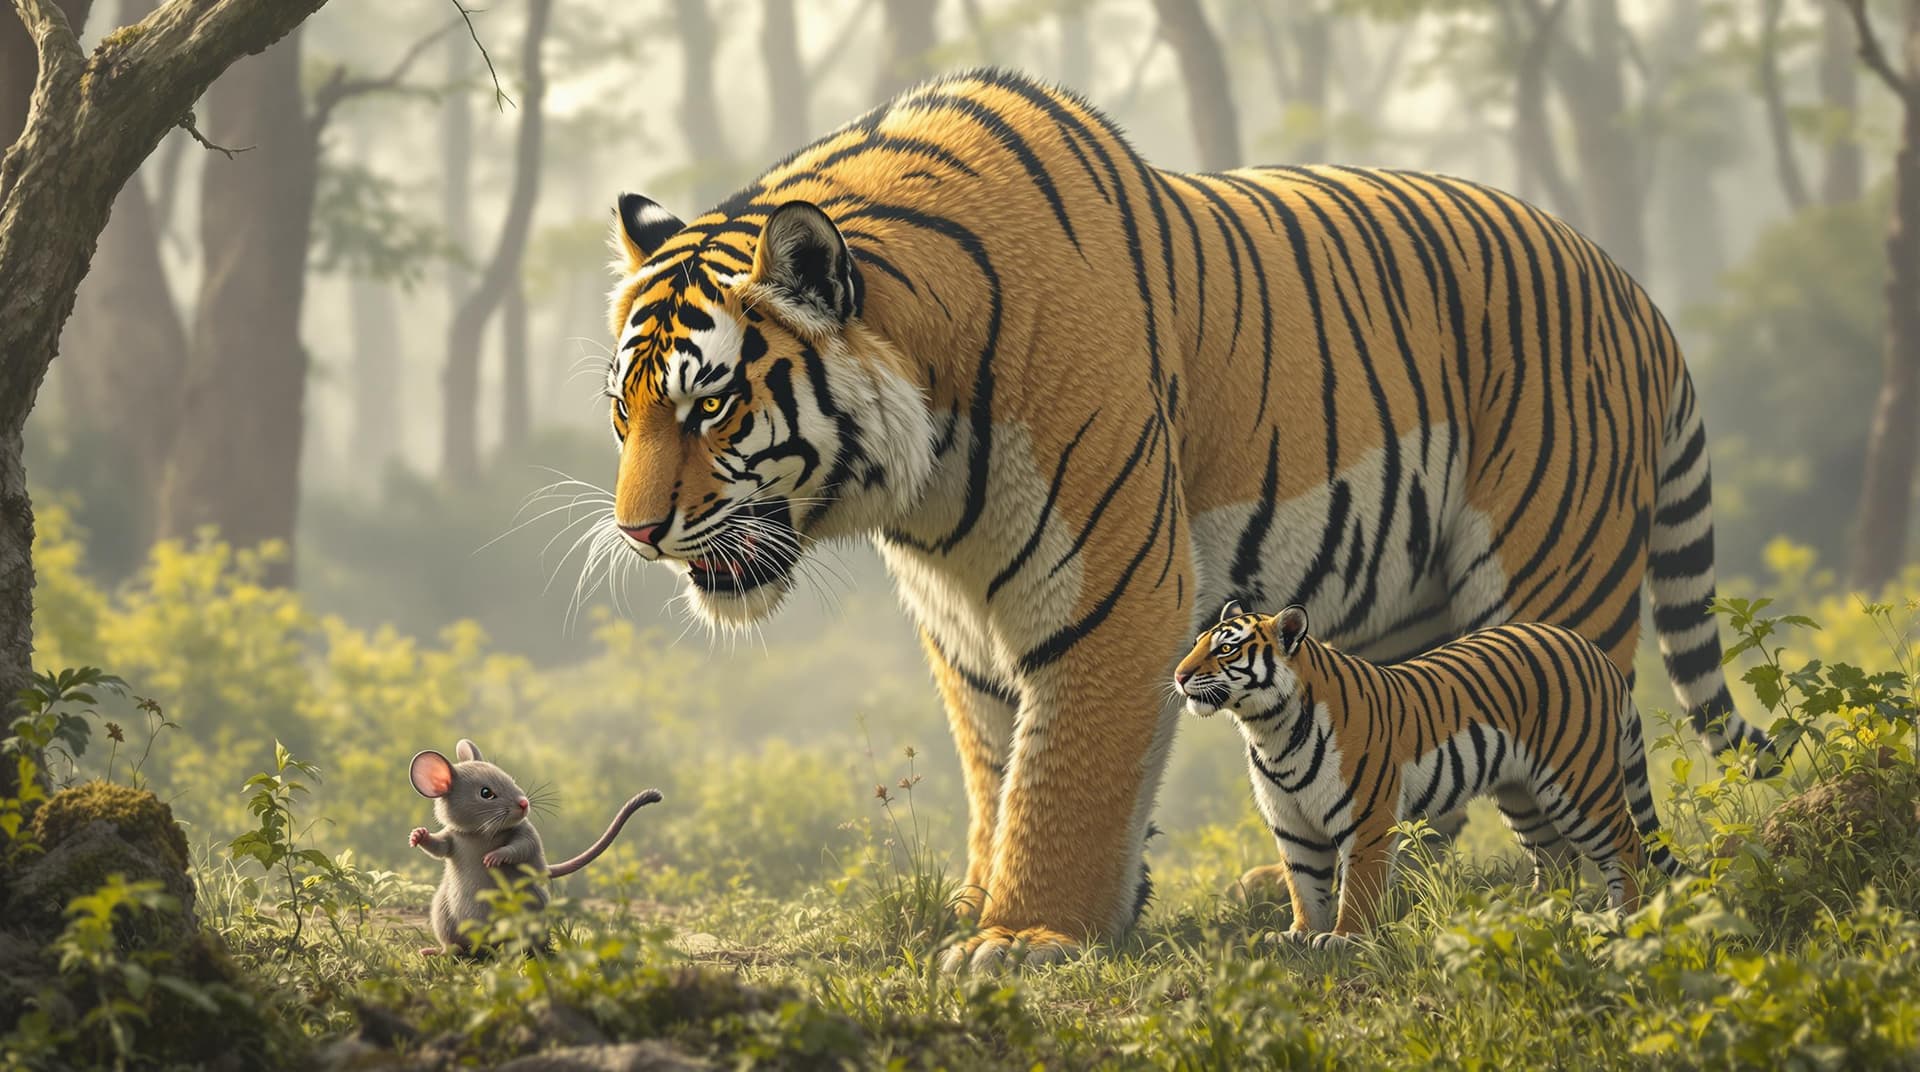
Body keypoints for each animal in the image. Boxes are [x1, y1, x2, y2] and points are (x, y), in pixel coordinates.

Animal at [1175, 601, 1684, 947]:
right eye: (1198, 643)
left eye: (1226, 649)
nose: (1179, 676)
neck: (1270, 730)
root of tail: (1592, 649)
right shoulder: (1292, 825)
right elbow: (1303, 885)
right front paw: (1298, 934)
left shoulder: (1367, 821)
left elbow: (1355, 887)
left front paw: (1343, 938)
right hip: (1523, 796)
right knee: (1558, 857)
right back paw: (1536, 913)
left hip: (1579, 783)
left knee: (1626, 844)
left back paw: (1624, 920)